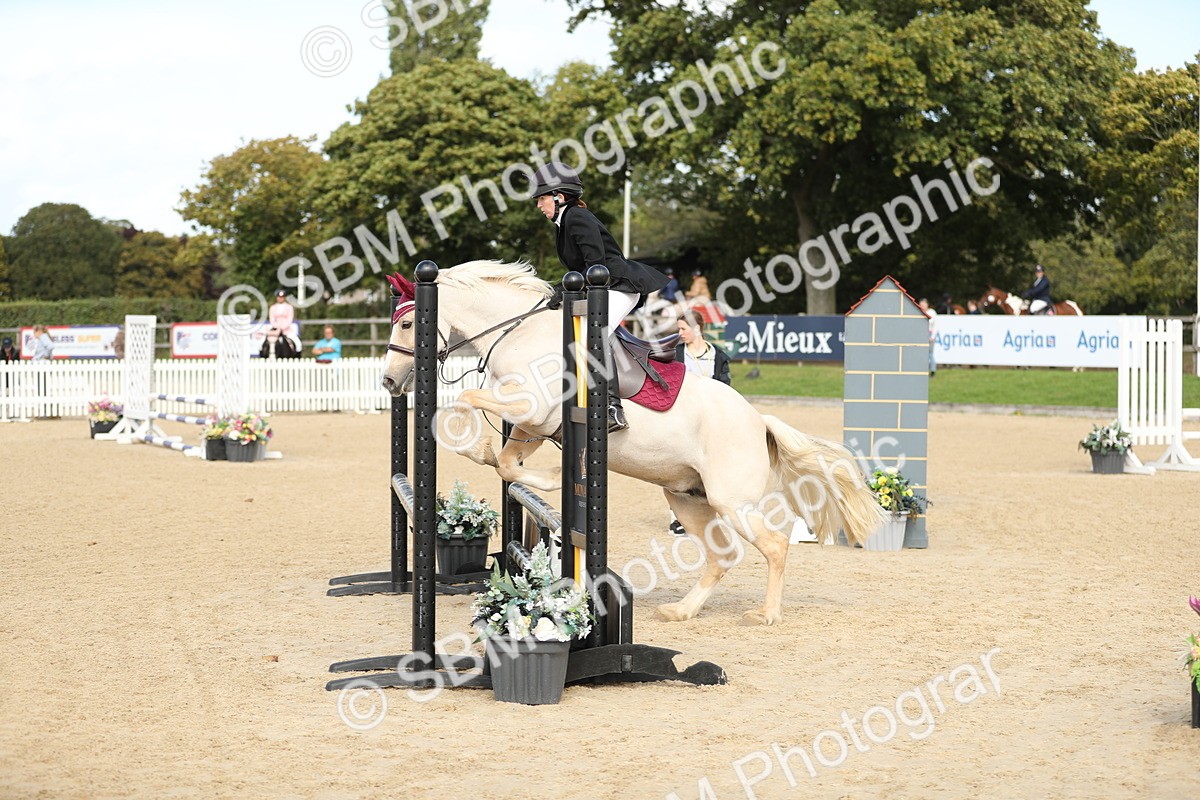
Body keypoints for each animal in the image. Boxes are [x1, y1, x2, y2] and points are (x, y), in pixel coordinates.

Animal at [380, 260, 886, 626]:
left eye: (407, 326)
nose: (388, 381)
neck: (519, 332)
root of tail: (758, 420)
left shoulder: (533, 409)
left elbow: (464, 402)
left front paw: (531, 468)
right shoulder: (533, 425)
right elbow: (506, 463)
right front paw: (533, 469)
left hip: (731, 499)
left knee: (775, 545)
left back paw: (766, 614)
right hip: (688, 498)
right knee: (722, 556)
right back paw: (682, 611)